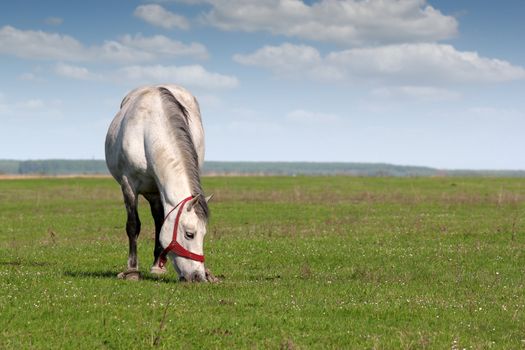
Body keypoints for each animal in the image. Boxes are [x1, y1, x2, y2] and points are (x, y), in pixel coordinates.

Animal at [104, 84, 213, 282]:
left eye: (204, 234)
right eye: (190, 234)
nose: (198, 276)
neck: (149, 129)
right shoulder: (128, 185)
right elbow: (133, 225)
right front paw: (132, 270)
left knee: (159, 220)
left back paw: (158, 263)